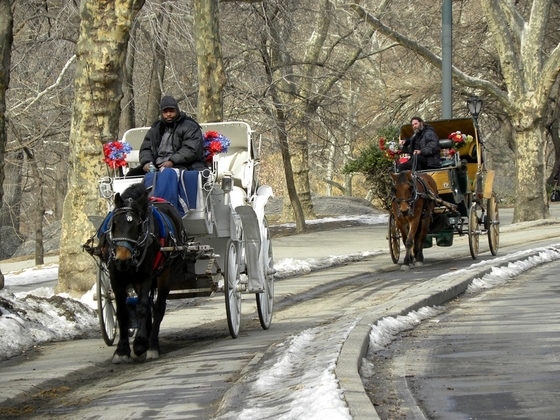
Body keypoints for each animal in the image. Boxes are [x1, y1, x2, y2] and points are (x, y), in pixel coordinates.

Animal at [101, 184, 187, 364]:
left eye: (138, 226)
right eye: (114, 223)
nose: (122, 259)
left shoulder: (145, 277)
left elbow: (142, 308)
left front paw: (140, 344)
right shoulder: (116, 278)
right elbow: (122, 312)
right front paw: (122, 350)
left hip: (165, 274)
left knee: (158, 308)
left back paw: (152, 345)